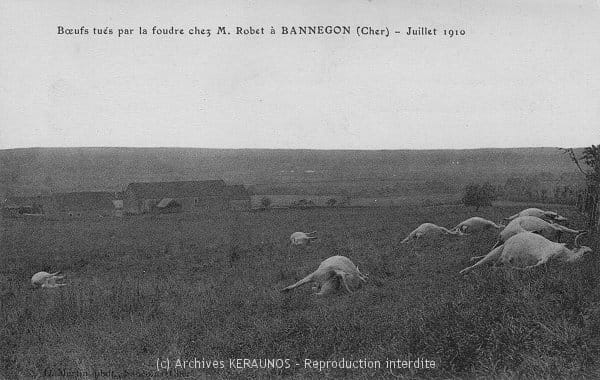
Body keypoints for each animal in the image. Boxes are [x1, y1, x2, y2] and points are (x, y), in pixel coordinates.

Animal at [460, 232, 592, 274]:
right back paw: (464, 270)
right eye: (585, 252)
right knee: (478, 264)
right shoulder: (547, 254)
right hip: (497, 252)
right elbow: (537, 264)